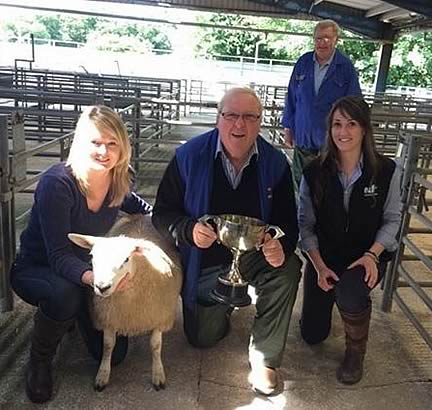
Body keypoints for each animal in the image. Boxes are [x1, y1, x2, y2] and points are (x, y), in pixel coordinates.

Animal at [68, 215, 182, 390]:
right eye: (92, 256)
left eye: (126, 259)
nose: (102, 287)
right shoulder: (109, 318)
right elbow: (108, 347)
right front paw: (103, 374)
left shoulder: (159, 317)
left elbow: (155, 346)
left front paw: (158, 374)